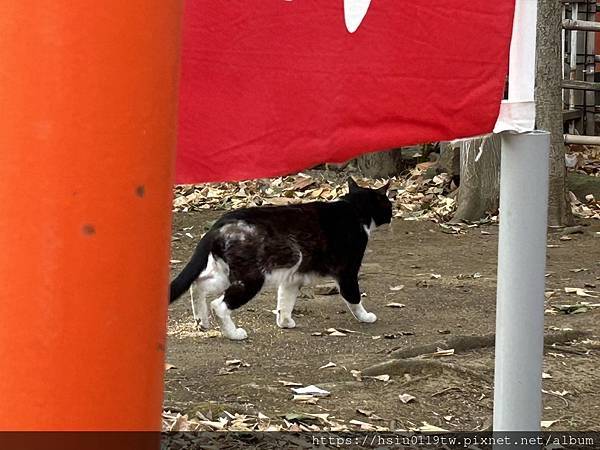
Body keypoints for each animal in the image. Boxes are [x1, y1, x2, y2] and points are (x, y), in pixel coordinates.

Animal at [170, 178, 394, 340]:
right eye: (389, 205)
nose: (392, 215)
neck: (354, 210)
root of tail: (219, 225)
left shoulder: (292, 278)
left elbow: (285, 301)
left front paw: (285, 322)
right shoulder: (347, 271)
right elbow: (354, 297)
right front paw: (366, 317)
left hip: (227, 273)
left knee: (198, 284)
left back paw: (201, 321)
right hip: (251, 278)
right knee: (219, 304)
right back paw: (234, 334)